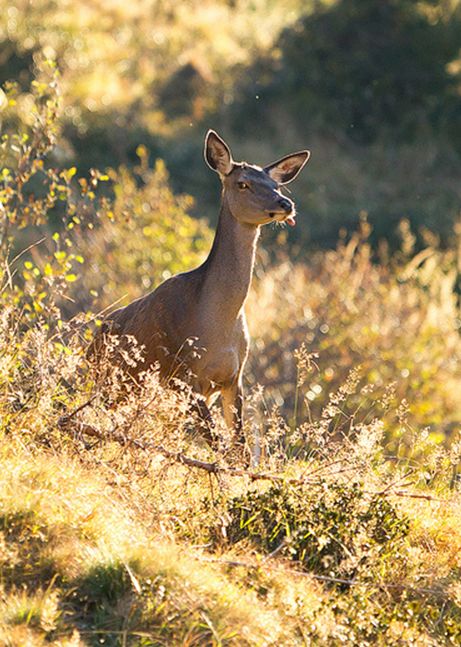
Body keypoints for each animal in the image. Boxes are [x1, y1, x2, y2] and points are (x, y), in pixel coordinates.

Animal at [97, 130, 310, 447]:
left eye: (276, 184)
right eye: (242, 183)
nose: (286, 204)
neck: (216, 324)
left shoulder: (234, 378)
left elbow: (238, 448)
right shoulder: (181, 374)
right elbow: (218, 445)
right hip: (110, 381)